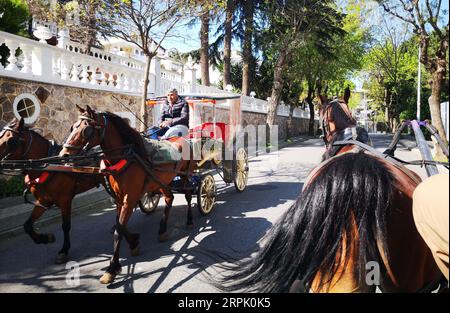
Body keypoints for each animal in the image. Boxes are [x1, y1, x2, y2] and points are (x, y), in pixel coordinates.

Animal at [0, 117, 104, 264]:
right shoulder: (43, 200)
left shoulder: (65, 199)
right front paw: (46, 238)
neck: (48, 166)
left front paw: (64, 251)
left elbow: (65, 225)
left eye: (10, 140)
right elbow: (27, 226)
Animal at [59, 105, 193, 282]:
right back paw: (162, 229)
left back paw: (190, 220)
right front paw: (134, 242)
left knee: (189, 194)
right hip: (162, 180)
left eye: (86, 130)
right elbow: (119, 225)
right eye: (72, 127)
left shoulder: (130, 198)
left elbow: (118, 230)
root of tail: (183, 138)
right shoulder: (119, 198)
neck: (128, 156)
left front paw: (111, 269)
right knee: (169, 198)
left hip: (186, 174)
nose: (64, 155)